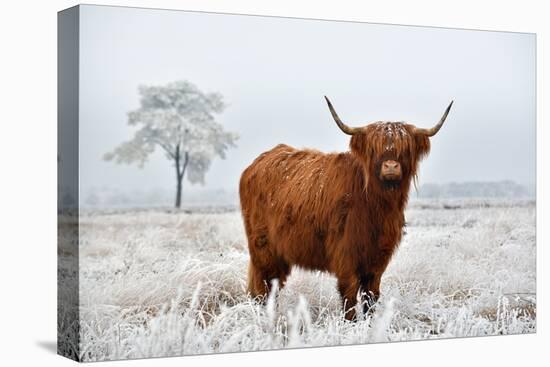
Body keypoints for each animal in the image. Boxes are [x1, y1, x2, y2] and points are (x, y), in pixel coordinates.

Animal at [239, 98, 454, 322]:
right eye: (374, 149)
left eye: (406, 149)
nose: (391, 166)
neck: (377, 207)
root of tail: (258, 162)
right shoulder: (345, 255)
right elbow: (349, 296)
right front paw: (350, 324)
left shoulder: (378, 259)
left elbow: (371, 296)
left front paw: (369, 324)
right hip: (263, 248)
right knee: (263, 286)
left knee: (272, 285)